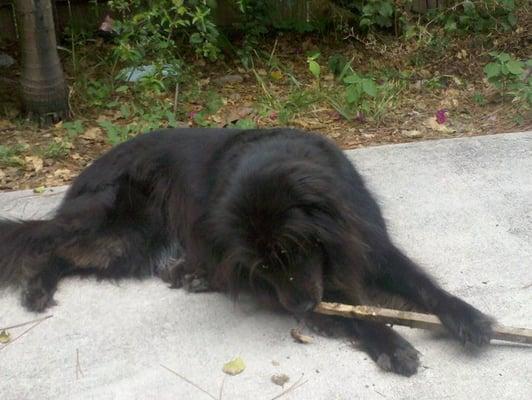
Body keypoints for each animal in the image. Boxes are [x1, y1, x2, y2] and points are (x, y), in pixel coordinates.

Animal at [0, 128, 492, 376]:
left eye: (294, 248)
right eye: (263, 264)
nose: (300, 307)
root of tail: (92, 165)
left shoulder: (370, 246)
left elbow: (424, 287)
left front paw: (467, 318)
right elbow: (351, 312)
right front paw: (389, 342)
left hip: (132, 245)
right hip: (122, 230)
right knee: (47, 240)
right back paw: (35, 286)